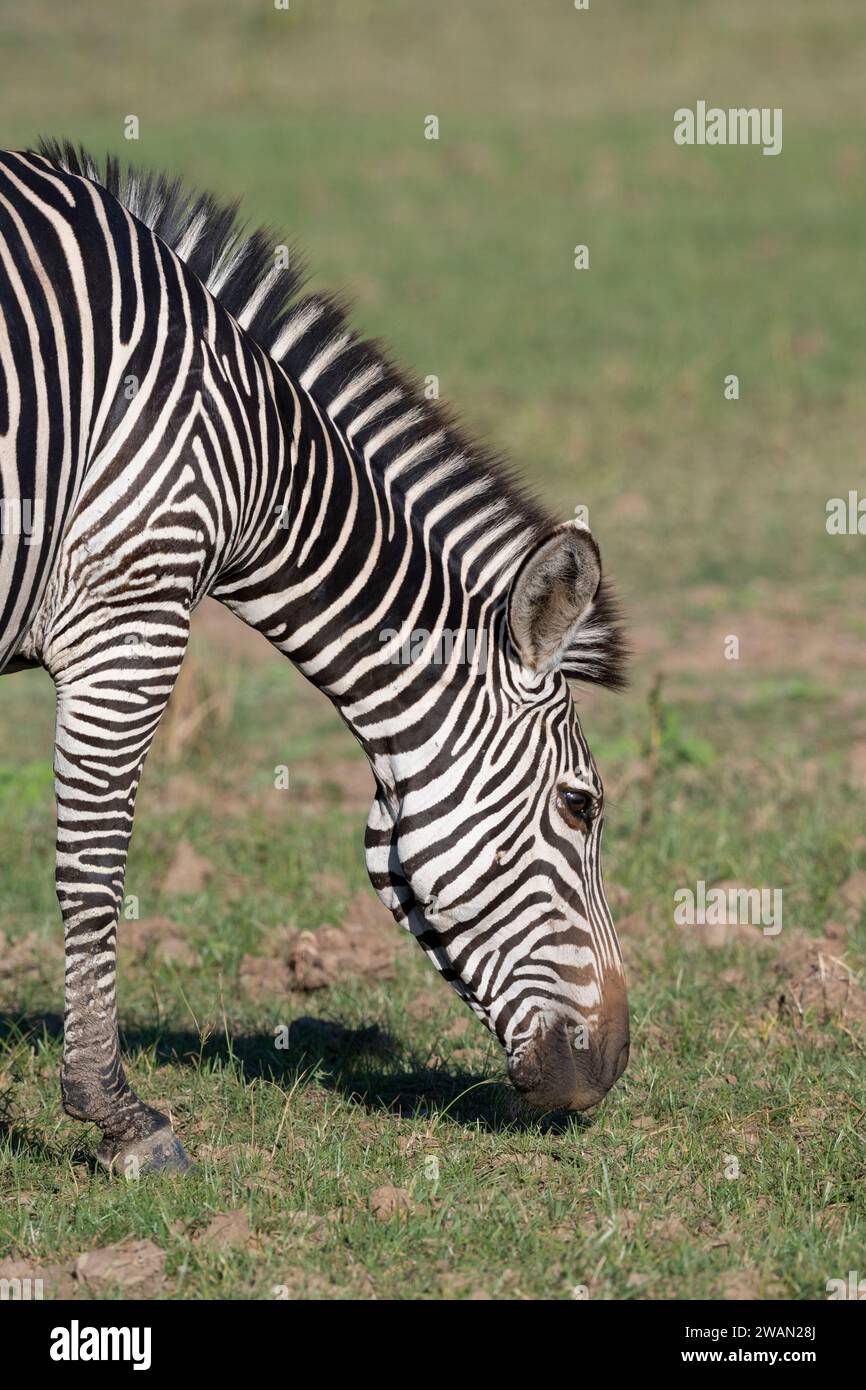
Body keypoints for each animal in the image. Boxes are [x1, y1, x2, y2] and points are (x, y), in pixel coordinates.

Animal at [0, 141, 629, 1174]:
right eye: (581, 807)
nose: (610, 1070)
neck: (253, 454)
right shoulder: (129, 616)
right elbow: (94, 864)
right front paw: (120, 1116)